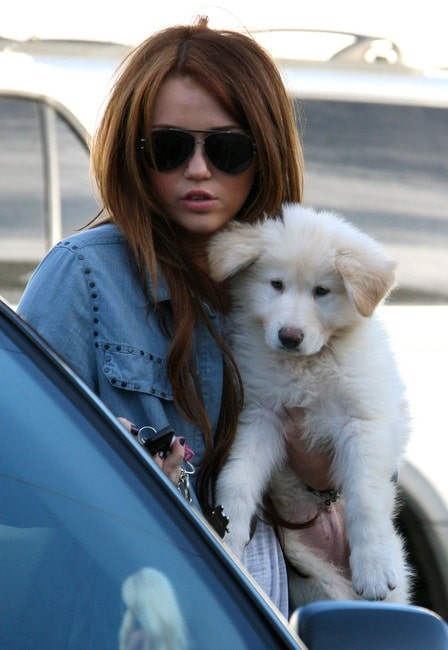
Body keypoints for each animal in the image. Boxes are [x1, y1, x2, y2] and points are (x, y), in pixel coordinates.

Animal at [208, 202, 412, 604]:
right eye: (276, 284)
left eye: (322, 291)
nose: (289, 336)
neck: (310, 364)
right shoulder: (261, 414)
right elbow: (237, 478)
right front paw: (227, 533)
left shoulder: (363, 422)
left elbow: (365, 497)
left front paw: (373, 567)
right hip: (316, 579)